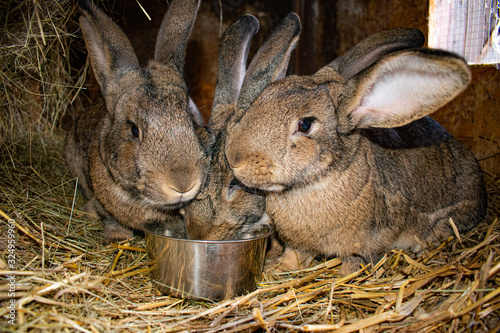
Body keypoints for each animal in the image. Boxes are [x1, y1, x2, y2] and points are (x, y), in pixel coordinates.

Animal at [225, 27, 486, 274]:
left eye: (305, 124)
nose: (234, 158)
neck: (314, 183)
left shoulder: (364, 244)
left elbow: (353, 263)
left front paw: (343, 275)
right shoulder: (297, 243)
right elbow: (294, 254)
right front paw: (278, 267)